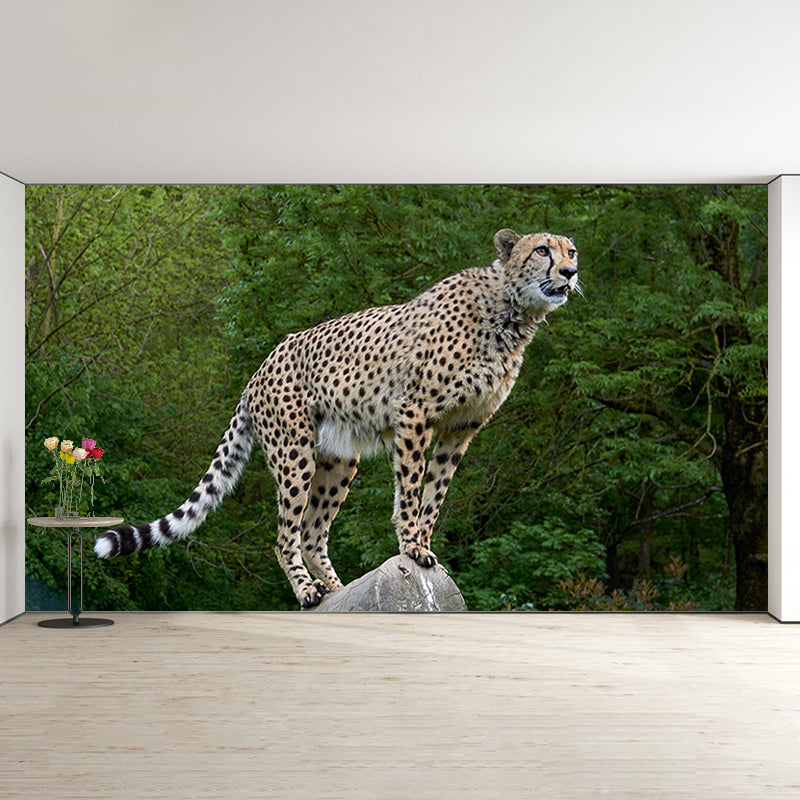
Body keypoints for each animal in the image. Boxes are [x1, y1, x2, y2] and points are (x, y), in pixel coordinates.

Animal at [94, 229, 580, 608]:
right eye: (542, 250)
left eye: (571, 251)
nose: (570, 274)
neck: (510, 312)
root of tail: (260, 367)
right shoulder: (415, 412)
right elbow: (411, 488)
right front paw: (410, 545)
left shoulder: (460, 429)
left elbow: (435, 494)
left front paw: (423, 545)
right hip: (295, 452)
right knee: (285, 535)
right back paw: (308, 591)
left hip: (339, 458)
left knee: (312, 532)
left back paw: (337, 588)